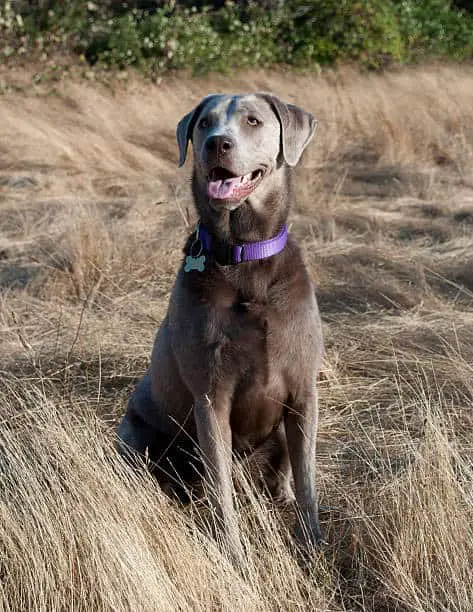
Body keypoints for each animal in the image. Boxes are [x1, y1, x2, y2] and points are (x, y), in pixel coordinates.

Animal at [117, 92, 324, 560]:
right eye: (204, 123)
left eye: (252, 120)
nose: (217, 143)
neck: (245, 256)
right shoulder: (212, 398)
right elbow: (221, 487)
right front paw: (231, 550)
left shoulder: (303, 394)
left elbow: (307, 481)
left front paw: (313, 544)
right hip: (135, 433)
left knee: (281, 470)